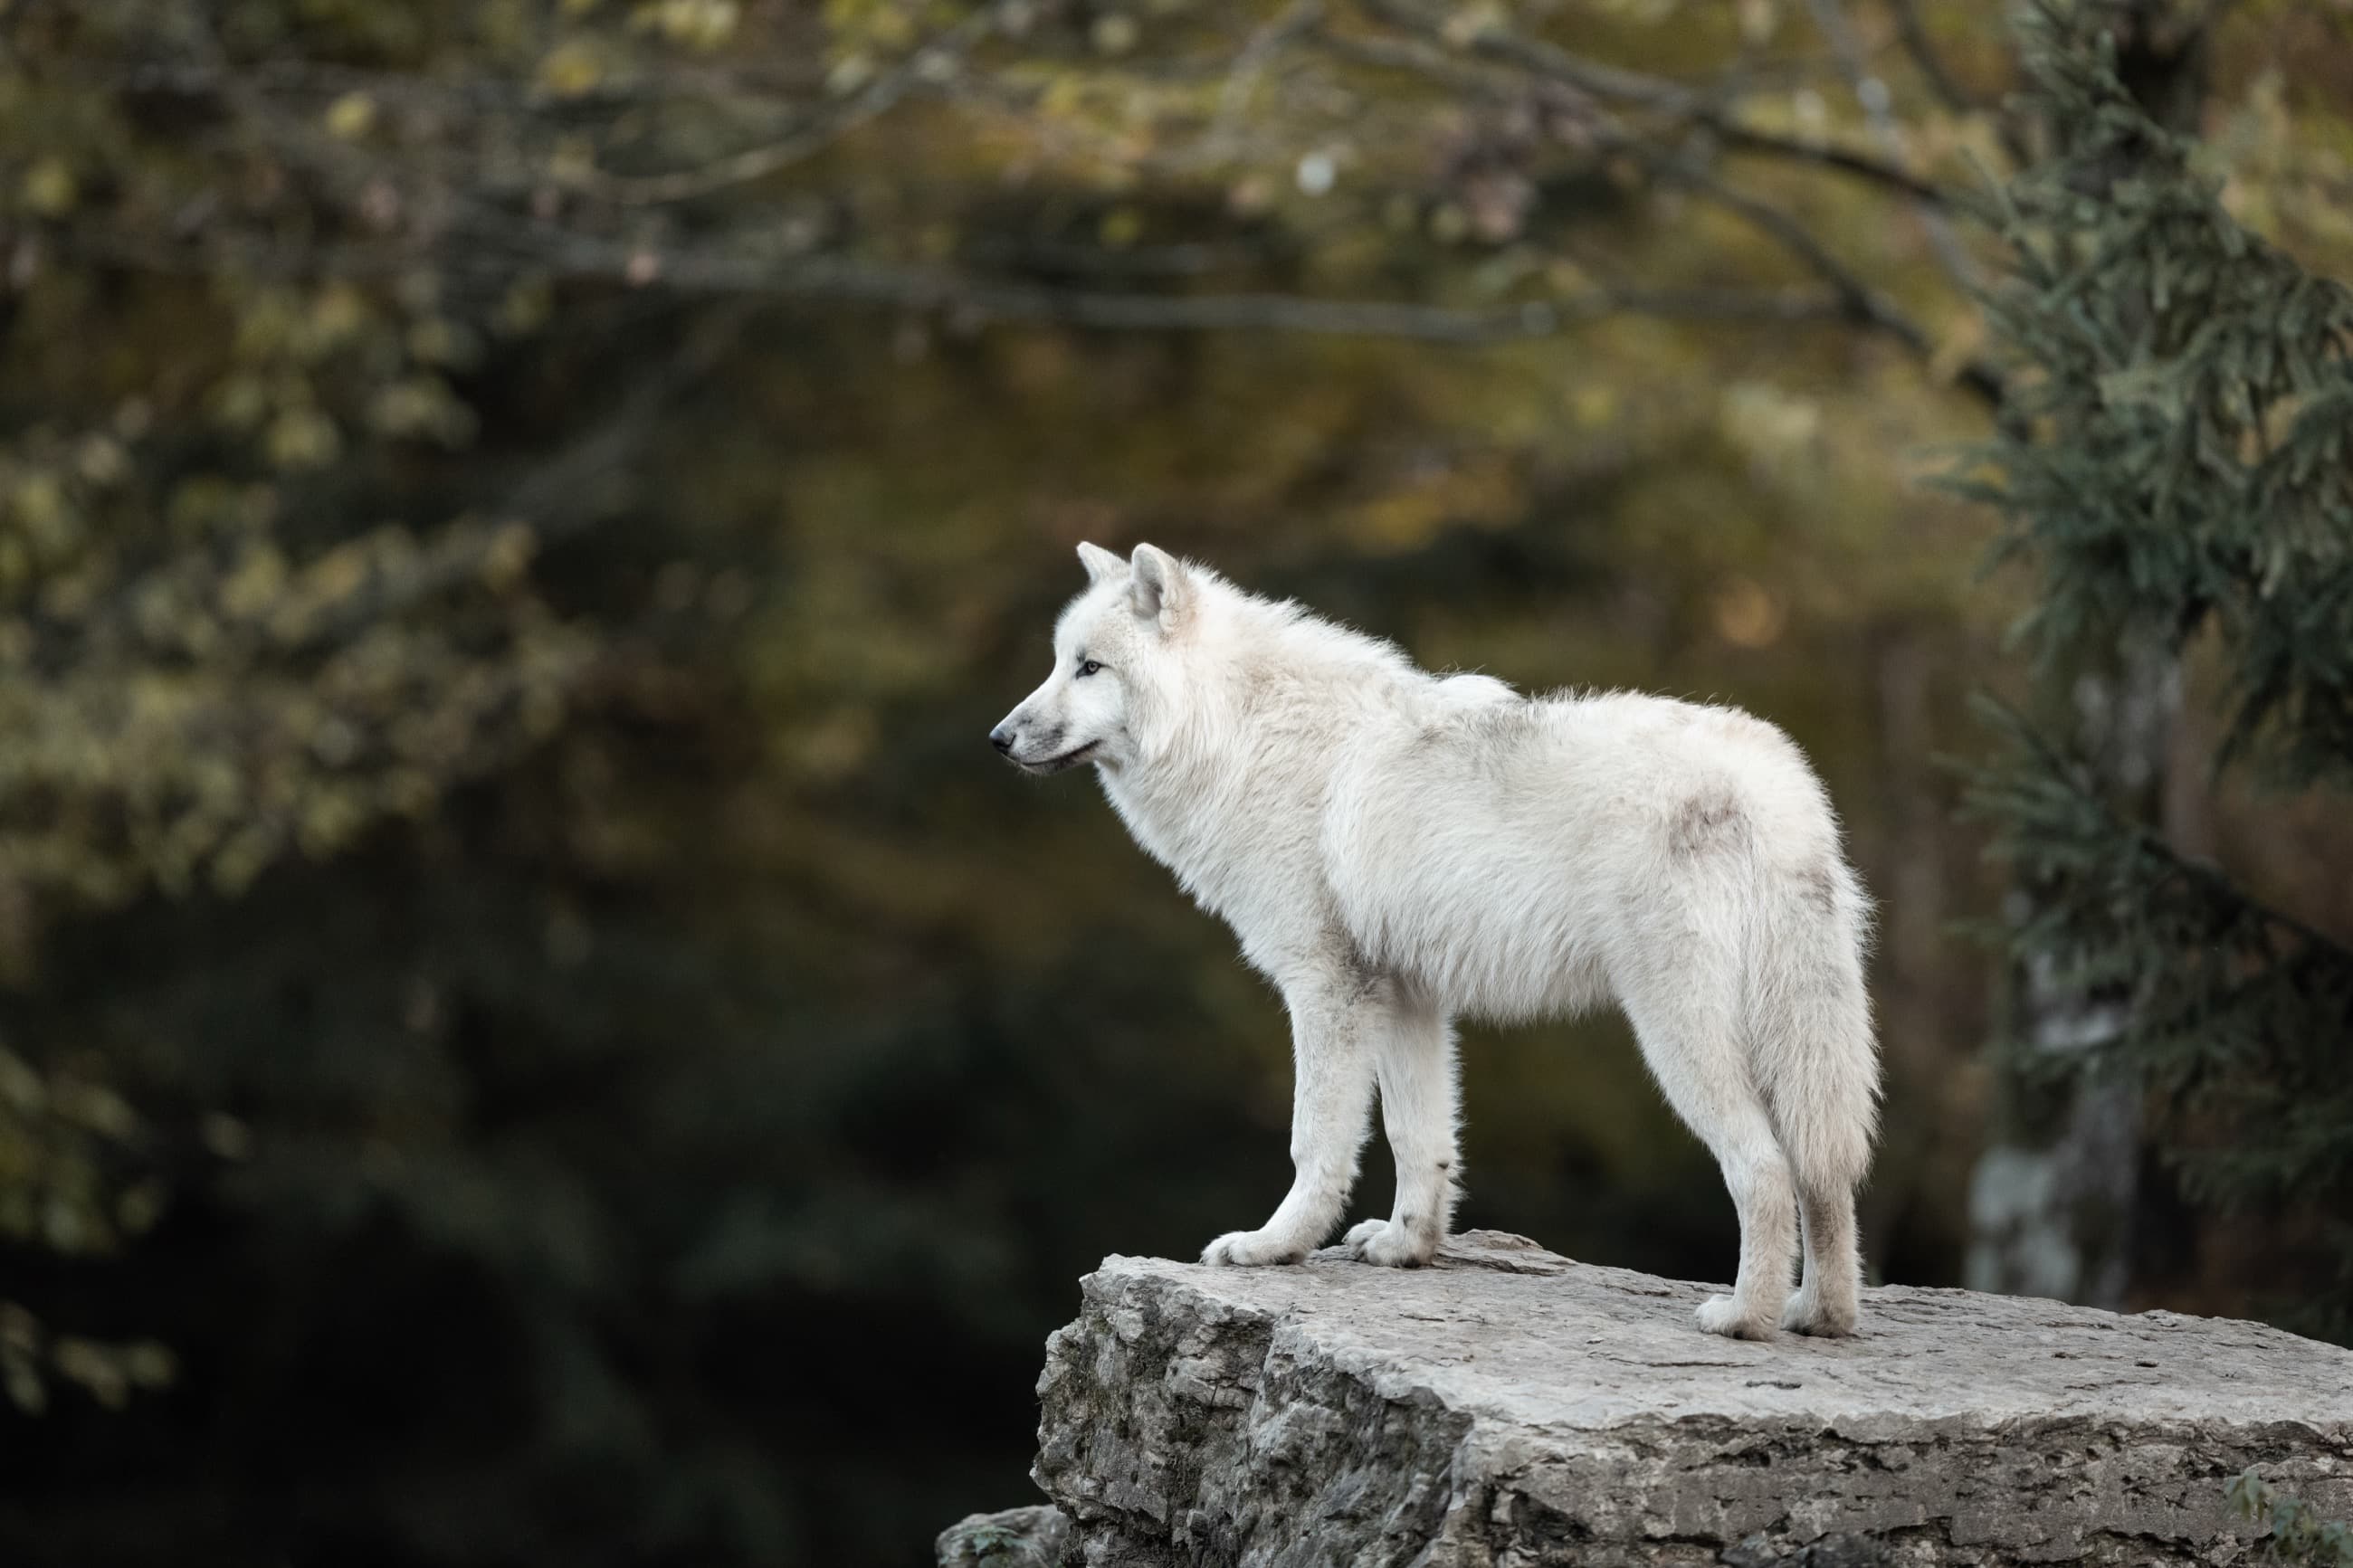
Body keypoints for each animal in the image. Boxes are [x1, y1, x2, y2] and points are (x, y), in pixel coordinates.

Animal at [990, 542, 1881, 1338]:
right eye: (1059, 662)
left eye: (1091, 668)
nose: (999, 737)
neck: (1242, 734)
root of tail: (1778, 791)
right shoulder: (1408, 996)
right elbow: (1419, 1139)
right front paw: (1405, 1246)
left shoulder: (1326, 986)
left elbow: (1315, 1141)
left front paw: (1272, 1247)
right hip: (1798, 1043)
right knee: (1826, 1176)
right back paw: (1822, 1316)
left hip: (1678, 1038)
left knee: (1766, 1169)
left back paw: (1744, 1319)